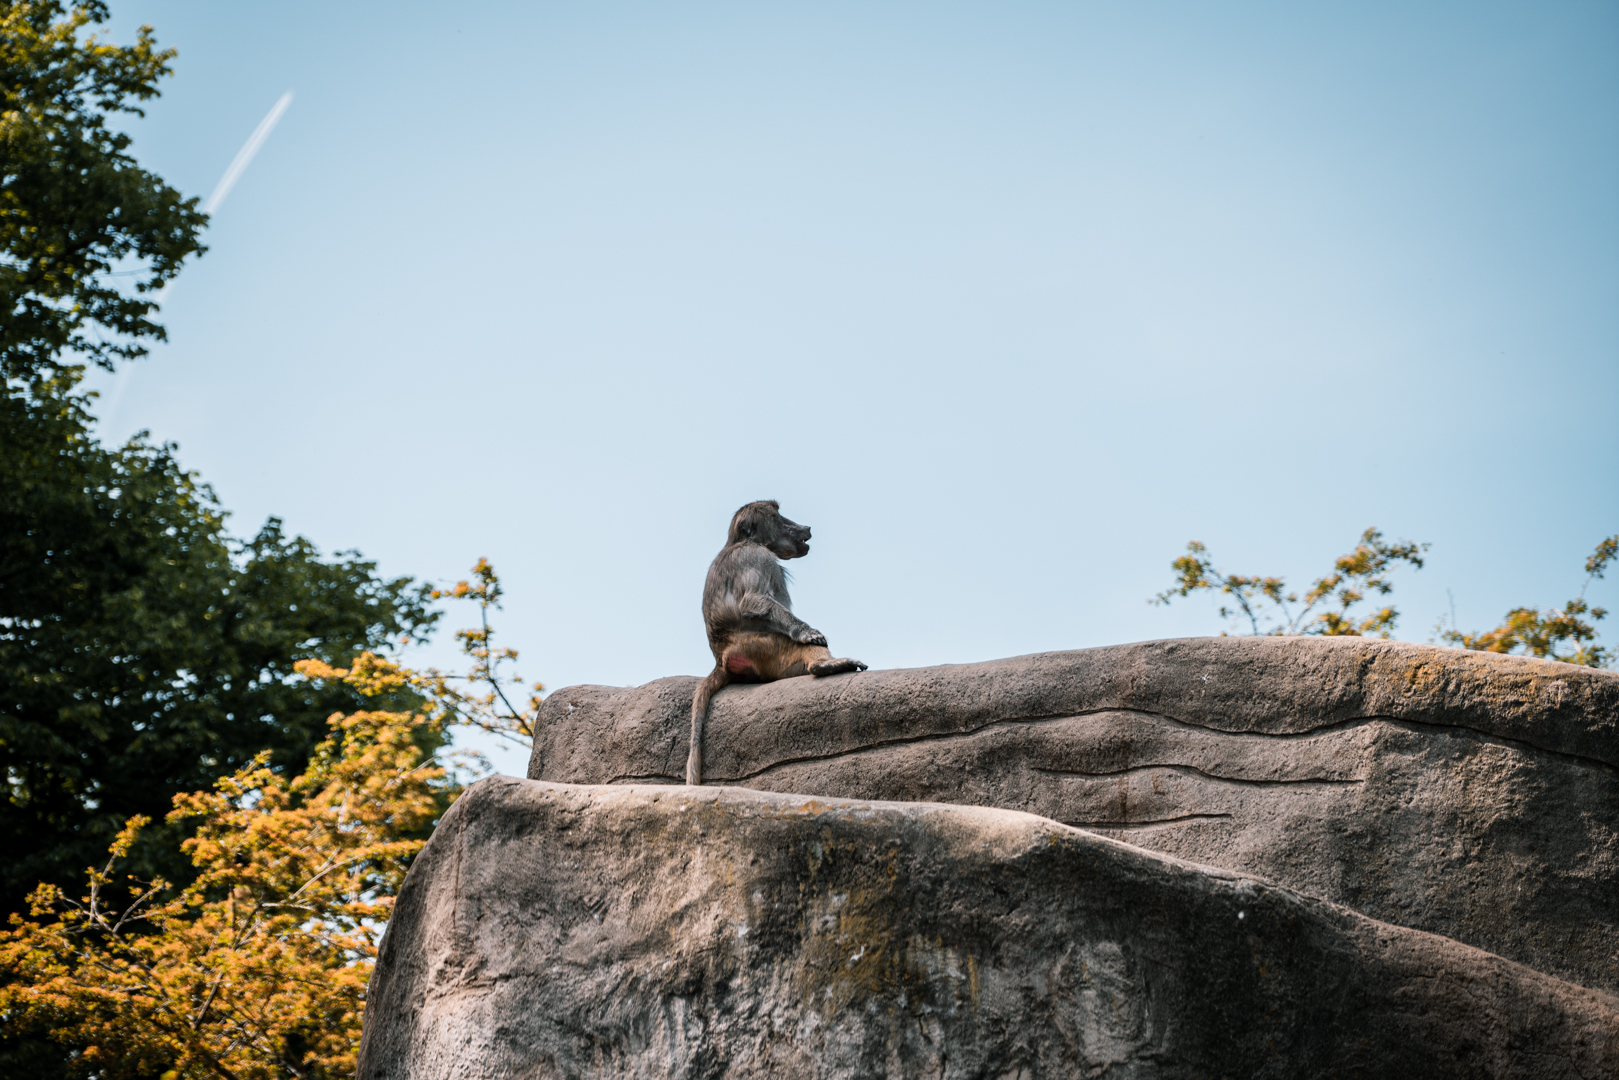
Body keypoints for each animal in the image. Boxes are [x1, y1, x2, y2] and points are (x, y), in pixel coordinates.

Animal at [686, 500, 866, 785]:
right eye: (778, 515)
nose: (805, 528)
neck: (739, 542)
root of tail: (721, 658)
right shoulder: (758, 557)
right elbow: (754, 601)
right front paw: (808, 633)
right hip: (761, 647)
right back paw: (825, 665)